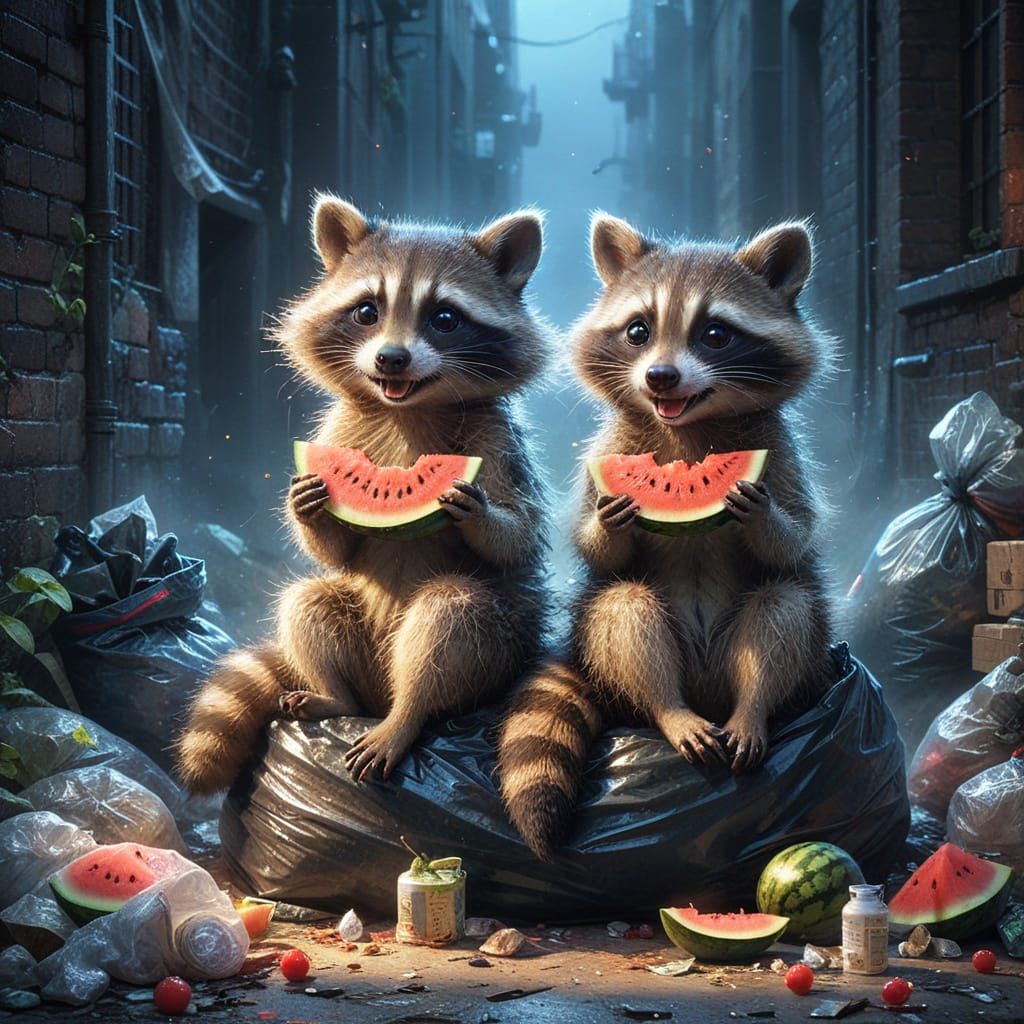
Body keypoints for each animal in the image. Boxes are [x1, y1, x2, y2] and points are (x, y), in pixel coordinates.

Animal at [175, 196, 551, 794]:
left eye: (445, 318)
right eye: (367, 311)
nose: (391, 359)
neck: (408, 407)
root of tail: (380, 693)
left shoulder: (497, 437)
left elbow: (518, 534)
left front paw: (481, 511)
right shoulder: (340, 430)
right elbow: (336, 551)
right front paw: (306, 512)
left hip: (502, 647)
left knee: (450, 617)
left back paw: (407, 715)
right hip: (357, 644)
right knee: (308, 604)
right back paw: (335, 696)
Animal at [498, 214, 837, 859]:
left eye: (715, 333)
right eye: (638, 330)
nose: (660, 376)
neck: (687, 425)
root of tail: (705, 693)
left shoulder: (778, 449)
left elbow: (796, 539)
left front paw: (765, 517)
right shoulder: (609, 448)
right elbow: (592, 545)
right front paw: (606, 522)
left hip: (770, 656)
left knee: (785, 607)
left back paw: (753, 709)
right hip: (611, 642)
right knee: (623, 612)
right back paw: (668, 708)